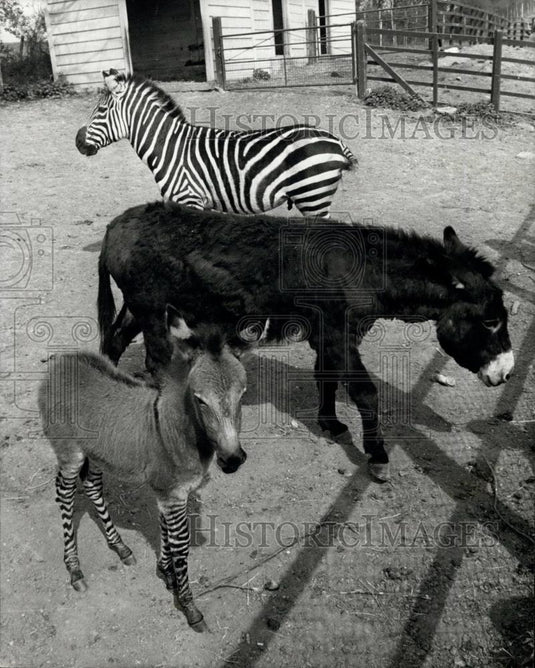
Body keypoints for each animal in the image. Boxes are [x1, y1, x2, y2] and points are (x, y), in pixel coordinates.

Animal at [76, 69, 357, 218]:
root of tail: (335, 140)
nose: (78, 142)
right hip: (314, 198)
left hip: (313, 197)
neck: (169, 147)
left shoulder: (189, 199)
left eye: (101, 110)